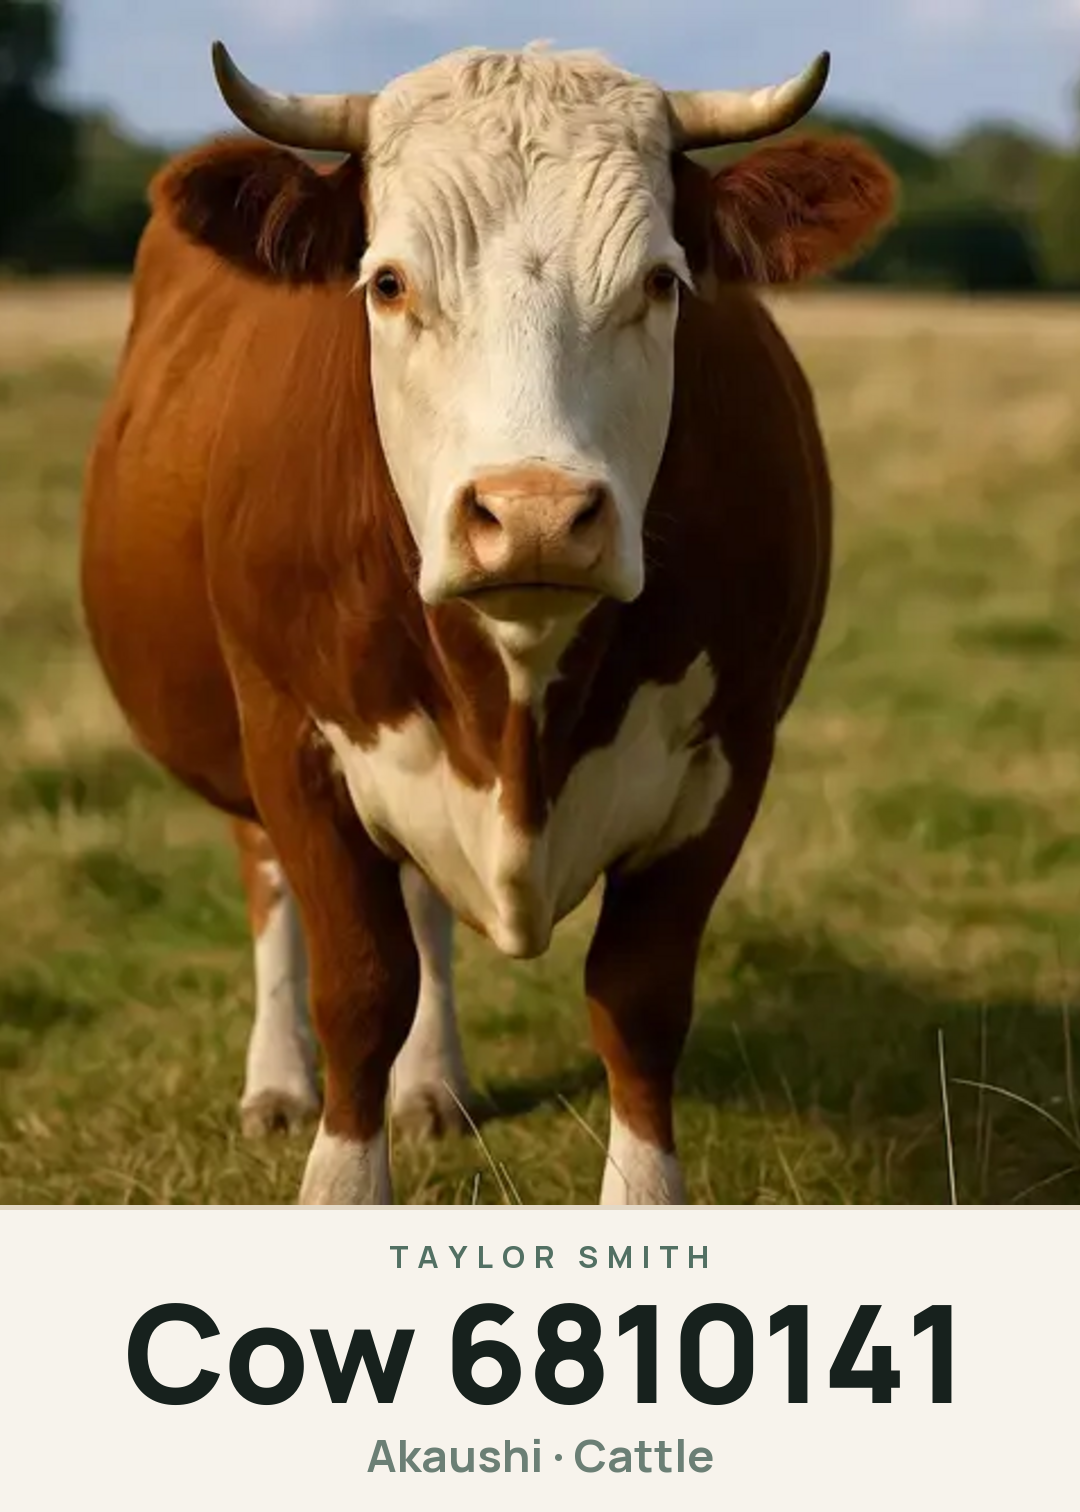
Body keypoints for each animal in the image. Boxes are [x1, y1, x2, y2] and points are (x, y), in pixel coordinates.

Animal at [80, 40, 895, 1205]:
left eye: (660, 281)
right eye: (388, 282)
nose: (535, 516)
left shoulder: (731, 757)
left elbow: (638, 1001)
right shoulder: (290, 736)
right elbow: (359, 988)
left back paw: (433, 1086)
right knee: (270, 883)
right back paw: (276, 1082)